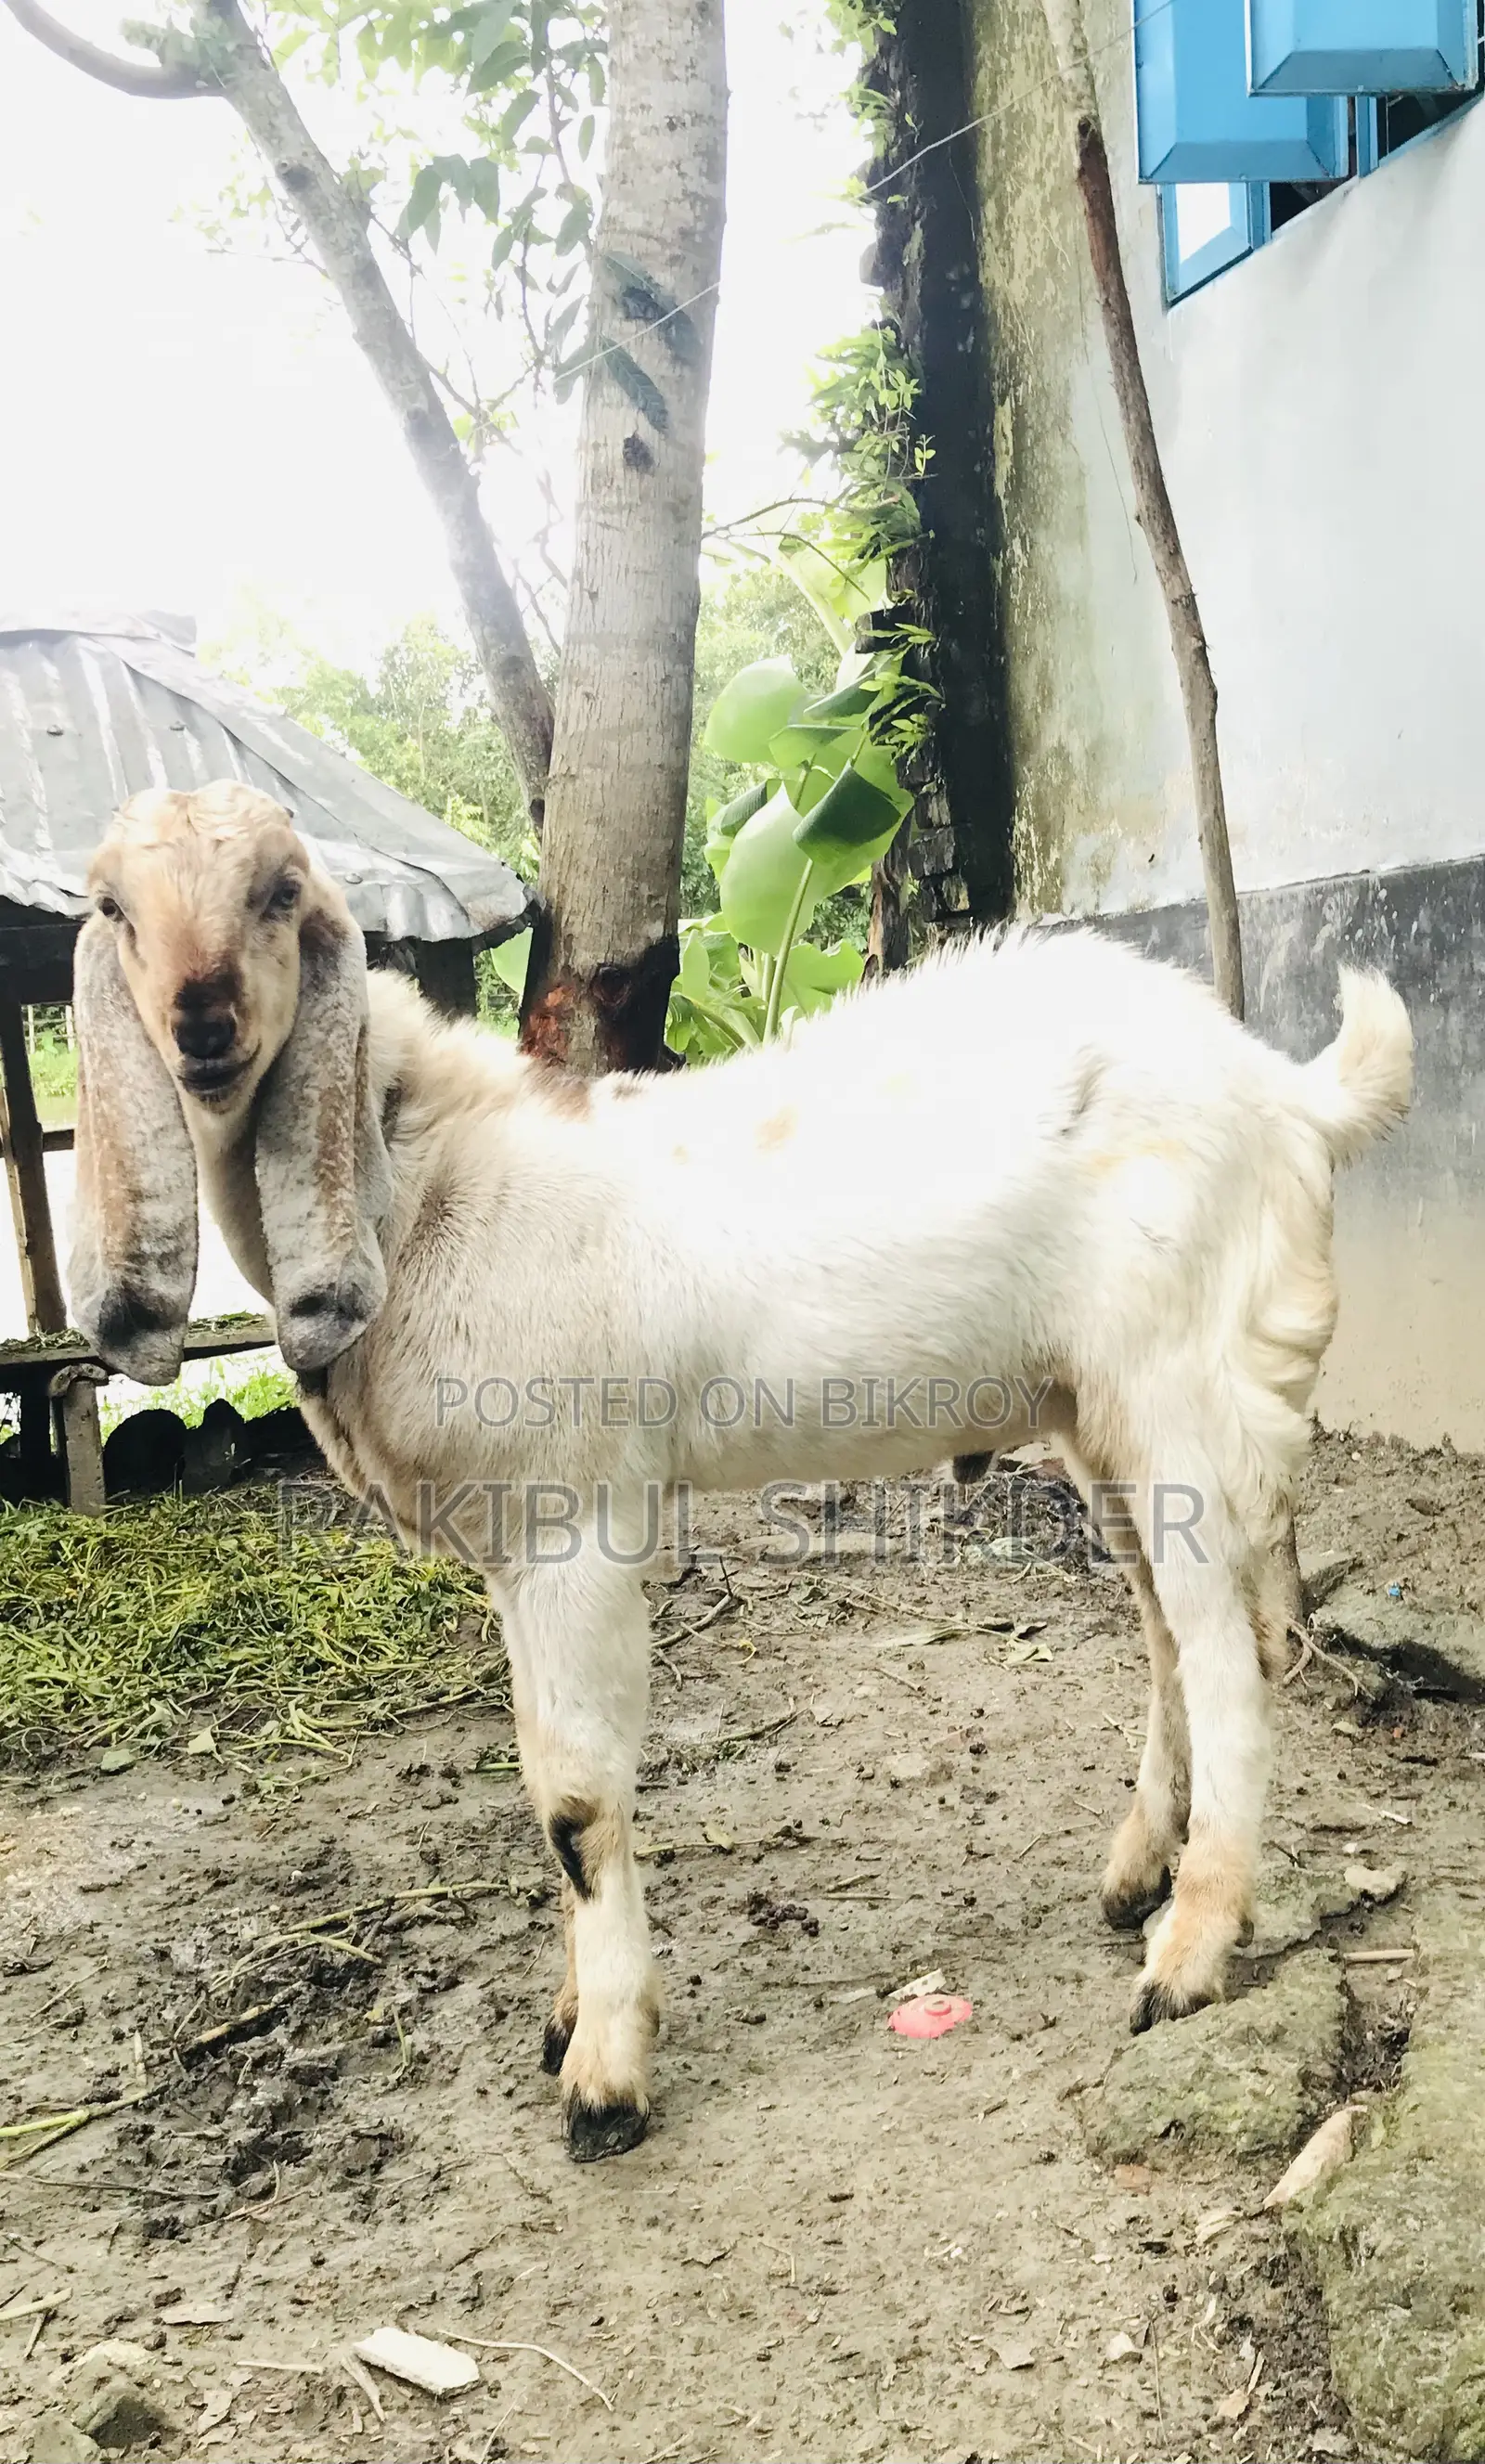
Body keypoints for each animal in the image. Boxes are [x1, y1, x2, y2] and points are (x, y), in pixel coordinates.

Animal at [69, 781, 1412, 2162]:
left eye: (282, 891)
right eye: (112, 905)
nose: (203, 1027)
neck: (437, 1181)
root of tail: (1287, 1094)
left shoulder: (573, 1524)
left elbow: (575, 1801)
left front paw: (604, 2073)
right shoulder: (510, 1541)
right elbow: (543, 1775)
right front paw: (570, 2014)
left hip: (1182, 1384)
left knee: (1232, 1655)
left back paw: (1188, 1954)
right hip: (1097, 1411)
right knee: (1168, 1636)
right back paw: (1139, 1868)